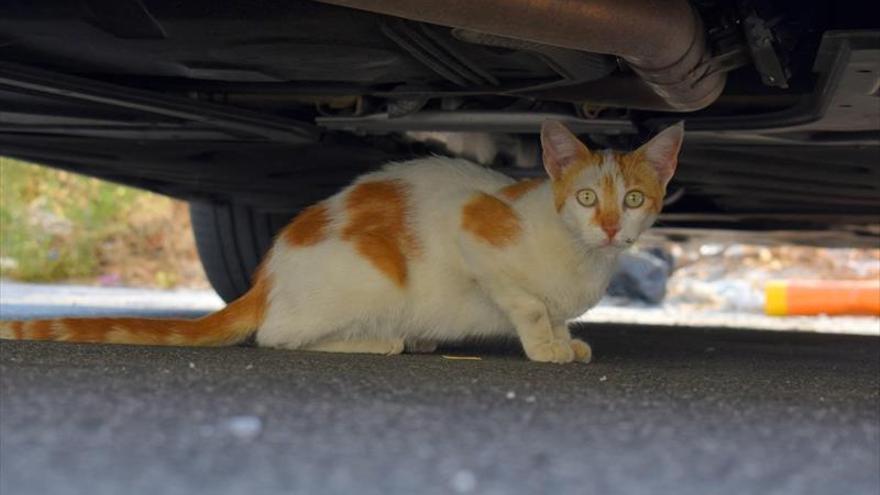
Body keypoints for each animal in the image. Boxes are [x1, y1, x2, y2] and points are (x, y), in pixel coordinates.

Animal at [0, 121, 684, 364]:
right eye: (587, 198)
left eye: (633, 200)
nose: (609, 227)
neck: (585, 258)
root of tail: (265, 278)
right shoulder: (475, 234)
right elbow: (528, 305)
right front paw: (548, 348)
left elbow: (555, 313)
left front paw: (569, 340)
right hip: (370, 278)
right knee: (279, 337)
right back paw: (385, 341)